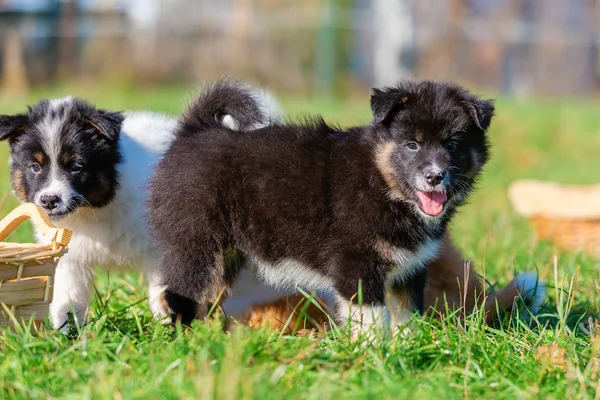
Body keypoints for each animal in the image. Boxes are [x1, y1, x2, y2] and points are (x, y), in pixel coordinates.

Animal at [0, 91, 282, 332]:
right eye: (35, 167)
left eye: (76, 166)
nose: (49, 200)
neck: (93, 210)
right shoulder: (72, 258)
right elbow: (69, 299)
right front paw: (67, 336)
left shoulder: (160, 251)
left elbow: (162, 293)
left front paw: (168, 333)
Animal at [148, 78, 494, 334]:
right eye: (412, 145)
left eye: (452, 145)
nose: (435, 176)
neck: (382, 183)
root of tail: (193, 130)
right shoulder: (357, 265)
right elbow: (371, 319)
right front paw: (375, 356)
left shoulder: (409, 269)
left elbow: (406, 315)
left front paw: (406, 349)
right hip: (197, 242)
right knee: (182, 294)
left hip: (225, 254)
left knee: (206, 298)